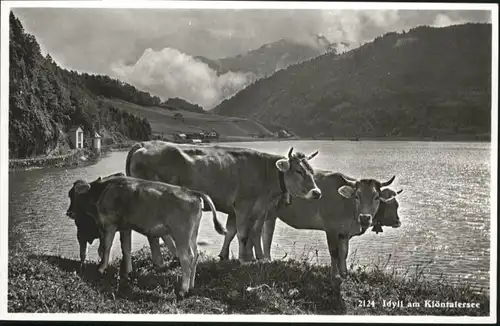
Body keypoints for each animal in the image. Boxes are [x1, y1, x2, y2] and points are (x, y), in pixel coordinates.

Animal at [66, 174, 227, 300]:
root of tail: (192, 192)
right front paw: (127, 272)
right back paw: (191, 286)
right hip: (192, 235)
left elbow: (105, 247)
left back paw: (182, 290)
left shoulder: (110, 225)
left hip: (181, 234)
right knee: (196, 254)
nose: (68, 212)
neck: (105, 189)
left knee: (187, 257)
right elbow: (126, 248)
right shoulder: (126, 227)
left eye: (72, 195)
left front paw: (100, 268)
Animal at [124, 140, 320, 264]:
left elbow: (239, 232)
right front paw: (243, 259)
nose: (317, 192)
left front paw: (245, 257)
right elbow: (243, 234)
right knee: (155, 233)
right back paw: (165, 259)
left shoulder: (255, 209)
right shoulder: (243, 205)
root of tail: (145, 144)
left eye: (311, 171)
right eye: (298, 171)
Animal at [218, 172, 398, 282]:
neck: (348, 206)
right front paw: (335, 275)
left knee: (258, 233)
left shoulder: (344, 232)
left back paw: (257, 258)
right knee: (246, 232)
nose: (365, 217)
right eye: (357, 196)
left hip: (266, 213)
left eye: (376, 197)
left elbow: (344, 253)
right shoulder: (331, 228)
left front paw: (344, 273)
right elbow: (334, 252)